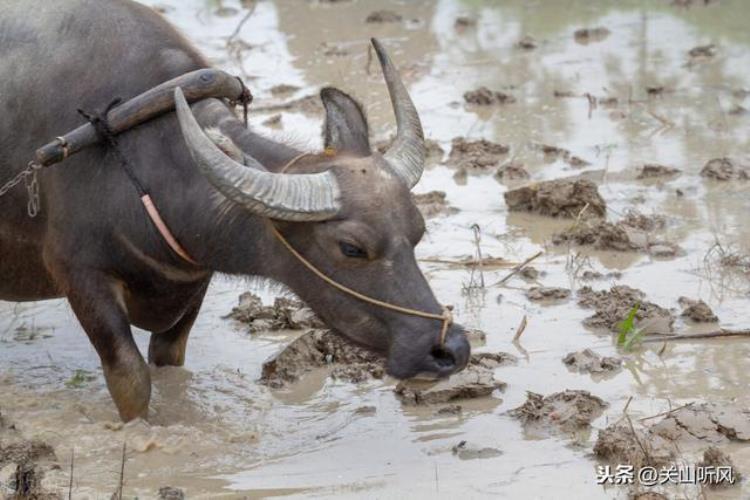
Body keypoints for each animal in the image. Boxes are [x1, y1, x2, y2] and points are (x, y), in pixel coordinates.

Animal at [0, 0, 470, 422]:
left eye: (418, 231)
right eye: (351, 248)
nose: (449, 349)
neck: (143, 158)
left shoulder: (194, 278)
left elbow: (168, 359)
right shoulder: (80, 275)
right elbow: (131, 380)